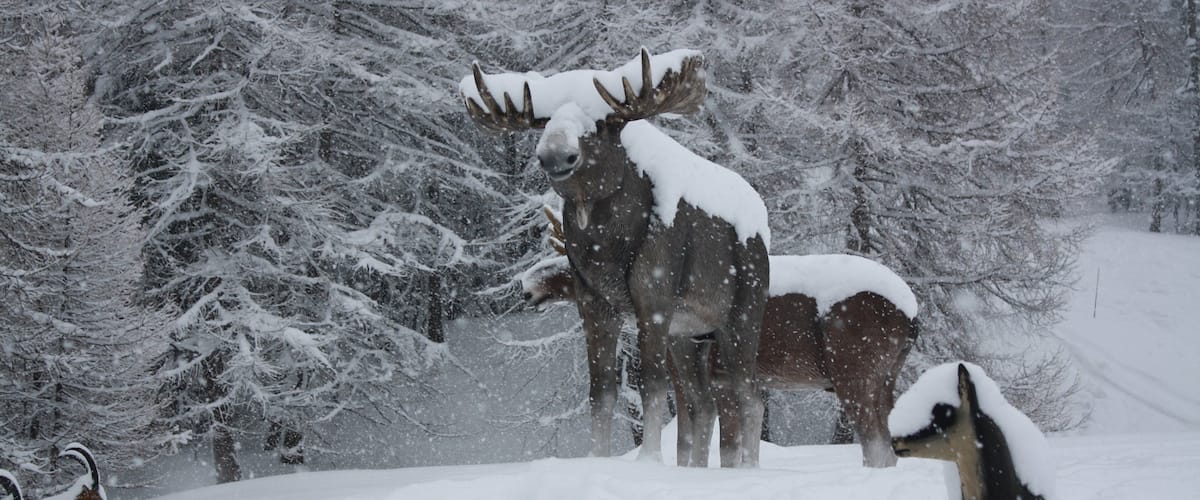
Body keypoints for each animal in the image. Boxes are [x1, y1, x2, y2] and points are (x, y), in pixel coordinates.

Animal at [463, 48, 770, 467]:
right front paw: (598, 458)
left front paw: (649, 461)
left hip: (742, 315)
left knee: (750, 395)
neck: (605, 250)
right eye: (546, 122)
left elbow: (651, 386)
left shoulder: (654, 298)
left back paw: (749, 467)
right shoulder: (594, 303)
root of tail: (763, 230)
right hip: (687, 334)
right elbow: (601, 391)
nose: (554, 154)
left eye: (600, 126)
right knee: (703, 401)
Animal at [521, 208, 919, 467]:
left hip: (853, 369)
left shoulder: (716, 376)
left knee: (876, 446)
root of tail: (912, 316)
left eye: (563, 266)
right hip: (886, 377)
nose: (525, 286)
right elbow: (693, 439)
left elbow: (718, 445)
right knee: (888, 446)